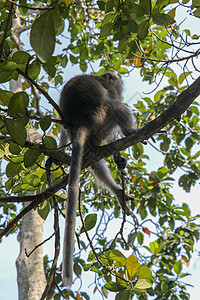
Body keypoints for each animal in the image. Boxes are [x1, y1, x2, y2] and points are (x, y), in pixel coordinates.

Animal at [59, 71, 137, 288]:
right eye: (117, 82)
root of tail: (79, 122)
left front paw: (119, 159)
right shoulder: (110, 93)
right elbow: (116, 102)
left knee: (93, 159)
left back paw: (117, 191)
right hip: (101, 119)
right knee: (115, 106)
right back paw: (130, 131)